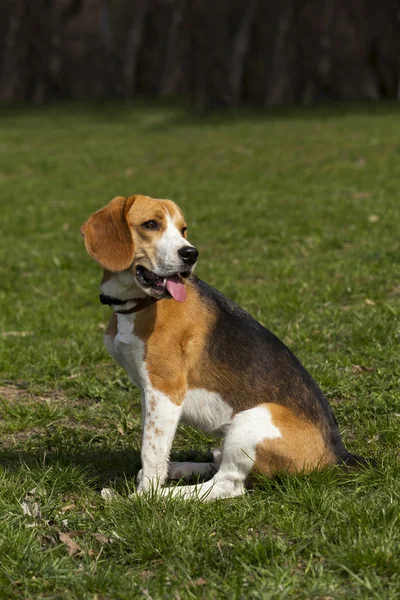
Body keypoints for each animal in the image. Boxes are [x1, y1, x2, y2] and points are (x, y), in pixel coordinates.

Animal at [82, 195, 368, 500]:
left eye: (183, 229)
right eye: (151, 224)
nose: (191, 254)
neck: (136, 303)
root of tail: (338, 456)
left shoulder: (165, 390)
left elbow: (151, 451)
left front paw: (143, 497)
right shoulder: (149, 392)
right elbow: (153, 444)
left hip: (253, 418)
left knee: (226, 484)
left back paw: (168, 495)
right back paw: (180, 468)